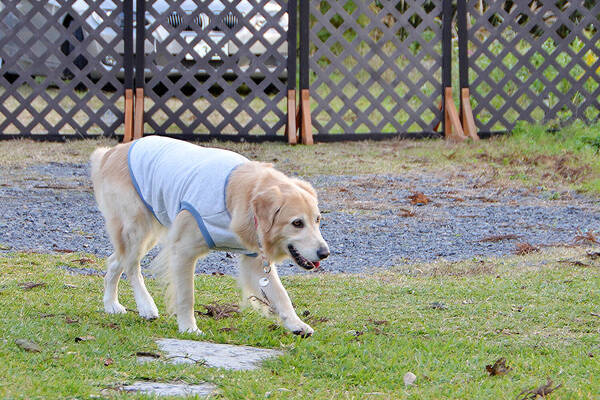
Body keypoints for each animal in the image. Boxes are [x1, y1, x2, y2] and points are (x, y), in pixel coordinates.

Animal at [90, 136, 328, 336]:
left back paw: (111, 304)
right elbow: (187, 295)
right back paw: (146, 306)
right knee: (131, 266)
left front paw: (296, 324)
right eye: (297, 223)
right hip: (137, 227)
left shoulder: (255, 261)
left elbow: (280, 295)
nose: (324, 253)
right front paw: (188, 328)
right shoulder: (182, 249)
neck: (240, 195)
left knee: (115, 261)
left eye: (317, 219)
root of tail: (113, 151)